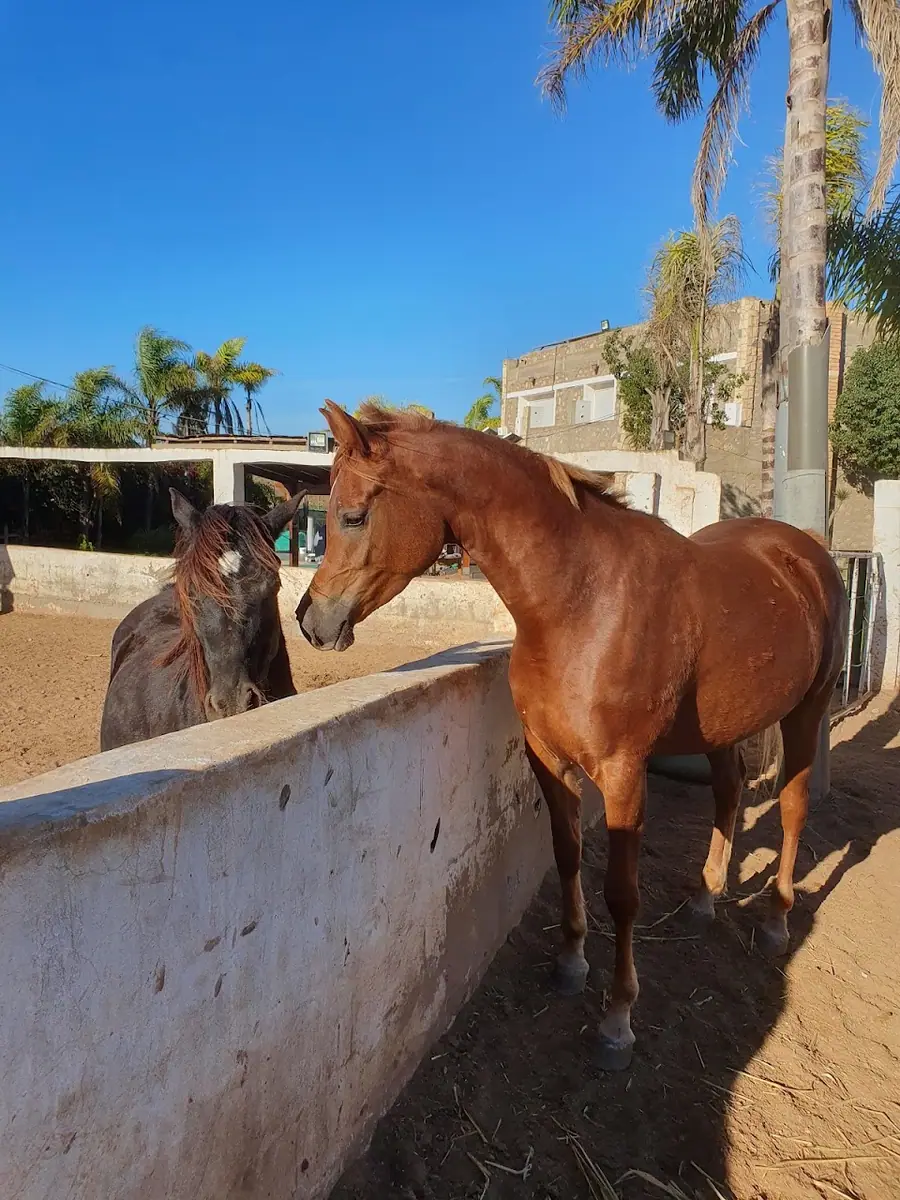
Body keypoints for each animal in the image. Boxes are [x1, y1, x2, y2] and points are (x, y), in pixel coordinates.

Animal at [296, 401, 848, 1071]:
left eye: (353, 515)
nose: (310, 621)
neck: (582, 601)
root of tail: (805, 553)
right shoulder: (549, 760)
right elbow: (567, 856)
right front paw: (570, 962)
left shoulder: (623, 774)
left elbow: (623, 893)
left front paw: (618, 1018)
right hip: (724, 727)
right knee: (729, 792)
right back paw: (704, 899)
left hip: (806, 712)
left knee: (792, 806)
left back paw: (775, 920)